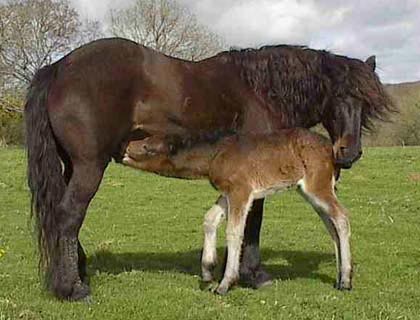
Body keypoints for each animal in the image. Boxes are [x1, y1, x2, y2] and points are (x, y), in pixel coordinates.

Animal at [123, 128, 352, 296]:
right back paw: (339, 277)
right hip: (309, 191)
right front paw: (207, 272)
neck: (214, 154)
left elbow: (233, 232)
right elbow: (210, 219)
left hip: (318, 186)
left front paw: (225, 284)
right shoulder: (227, 192)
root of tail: (331, 149)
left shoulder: (241, 191)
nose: (125, 149)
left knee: (341, 218)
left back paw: (346, 280)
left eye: (147, 147)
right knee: (331, 226)